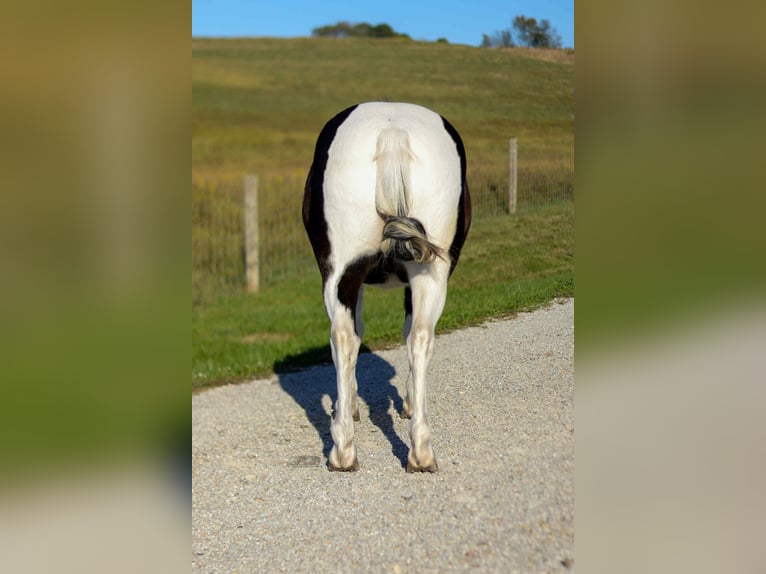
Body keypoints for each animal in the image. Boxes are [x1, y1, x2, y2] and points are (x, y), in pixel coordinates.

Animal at [303, 102, 471, 472]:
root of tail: (391, 134)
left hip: (346, 272)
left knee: (352, 336)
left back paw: (352, 450)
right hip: (425, 272)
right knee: (412, 335)